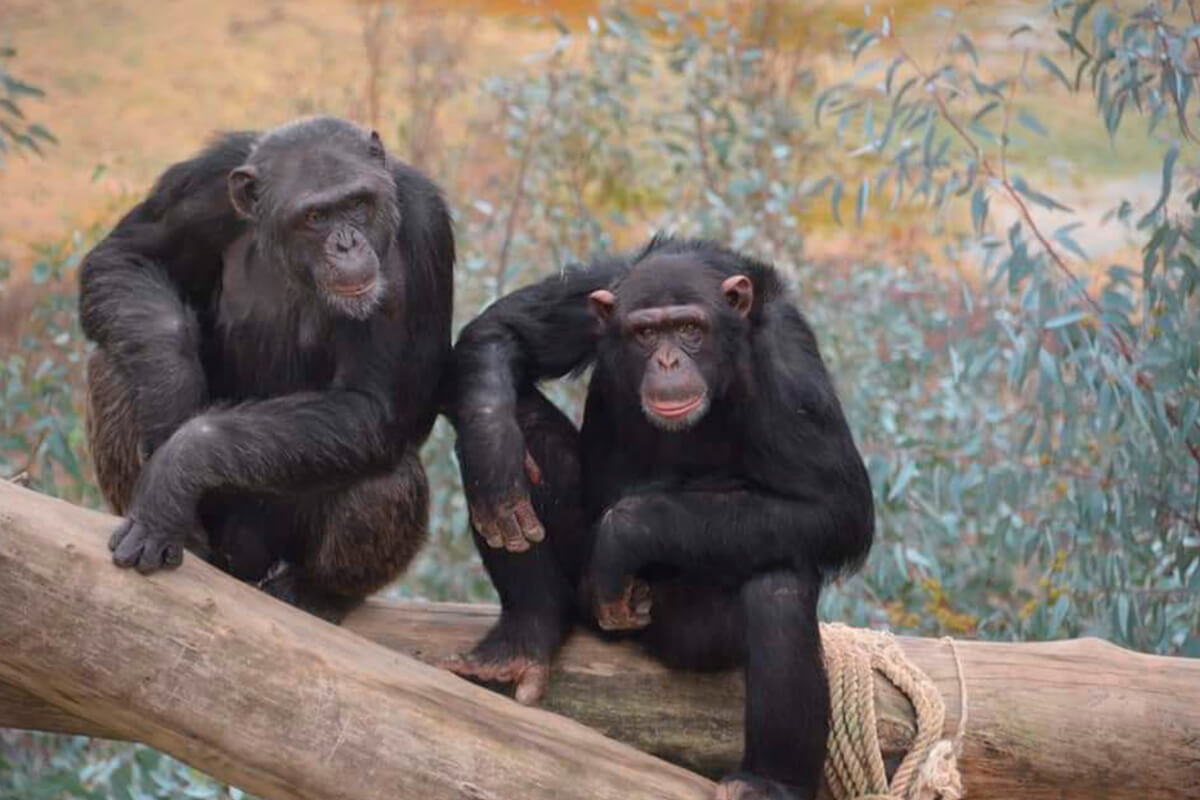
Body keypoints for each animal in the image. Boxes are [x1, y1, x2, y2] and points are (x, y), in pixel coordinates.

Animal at [79, 115, 453, 623]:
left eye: (357, 205)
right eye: (315, 217)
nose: (347, 243)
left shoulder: (421, 227)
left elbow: (376, 404)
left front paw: (178, 463)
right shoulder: (201, 184)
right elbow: (126, 256)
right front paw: (170, 391)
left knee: (391, 477)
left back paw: (316, 592)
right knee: (112, 367)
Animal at [446, 237, 878, 800]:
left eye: (690, 328)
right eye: (646, 332)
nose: (669, 360)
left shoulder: (790, 368)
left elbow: (836, 506)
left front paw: (627, 532)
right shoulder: (597, 294)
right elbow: (498, 331)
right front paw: (494, 447)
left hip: (688, 629)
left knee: (778, 586)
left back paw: (769, 781)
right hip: (587, 594)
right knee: (517, 411)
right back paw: (521, 637)